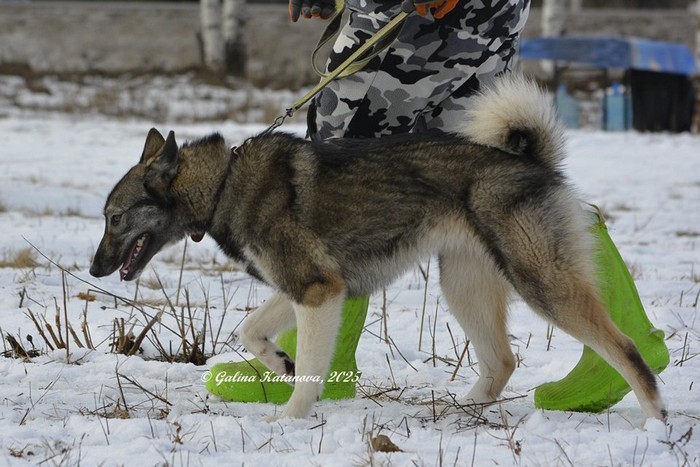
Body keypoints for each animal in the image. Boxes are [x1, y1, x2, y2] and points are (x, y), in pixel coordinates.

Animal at [90, 76, 666, 421]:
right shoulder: (311, 286)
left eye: (115, 218)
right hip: (463, 285)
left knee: (625, 349)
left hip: (539, 280)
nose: (94, 269)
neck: (225, 182)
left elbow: (310, 366)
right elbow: (250, 330)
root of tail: (530, 163)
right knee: (502, 359)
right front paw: (279, 363)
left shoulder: (317, 290)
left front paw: (291, 416)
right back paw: (465, 409)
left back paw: (654, 419)